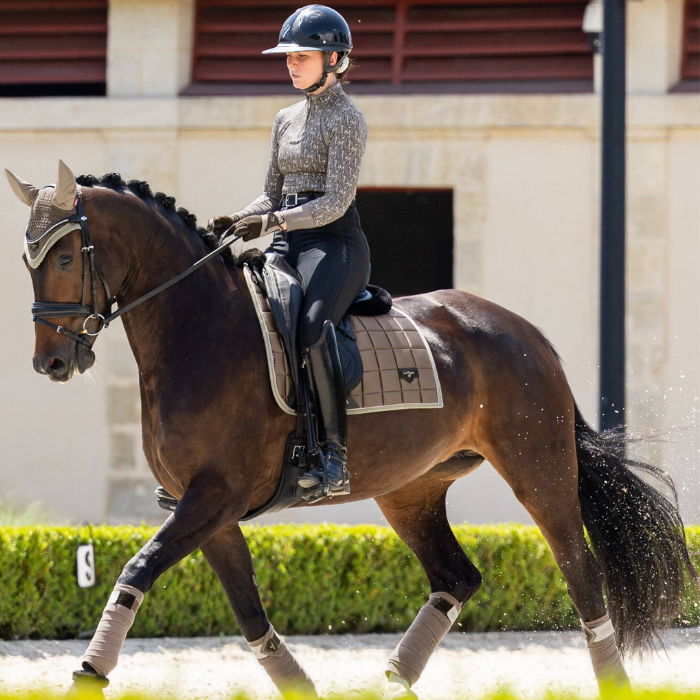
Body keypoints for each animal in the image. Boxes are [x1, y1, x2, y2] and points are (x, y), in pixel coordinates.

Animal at [4, 161, 696, 696]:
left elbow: (137, 569)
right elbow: (248, 613)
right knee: (457, 577)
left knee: (580, 572)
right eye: (27, 261)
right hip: (410, 491)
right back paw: (392, 681)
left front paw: (90, 672)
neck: (199, 328)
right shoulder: (207, 510)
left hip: (539, 471)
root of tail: (526, 332)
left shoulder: (214, 496)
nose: (52, 363)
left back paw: (611, 680)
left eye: (64, 255)